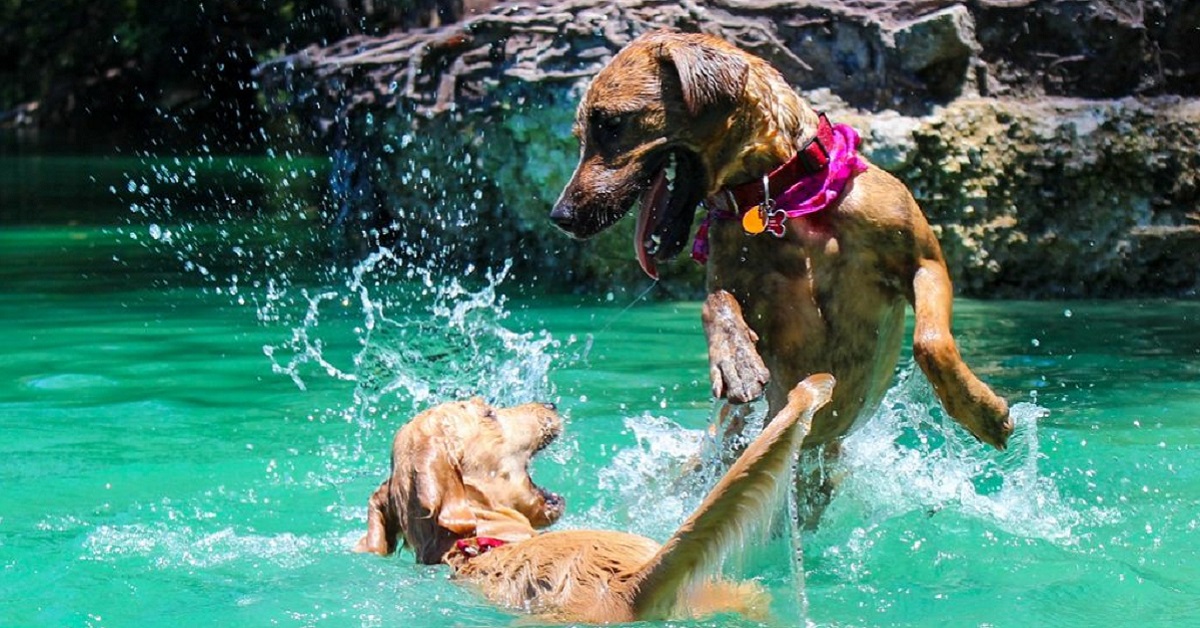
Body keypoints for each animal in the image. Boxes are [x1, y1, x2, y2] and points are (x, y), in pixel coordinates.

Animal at [552, 33, 1012, 465]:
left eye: (612, 123)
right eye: (582, 133)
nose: (561, 216)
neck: (783, 195)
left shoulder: (924, 262)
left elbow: (930, 340)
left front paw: (981, 411)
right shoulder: (745, 291)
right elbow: (715, 302)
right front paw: (734, 360)